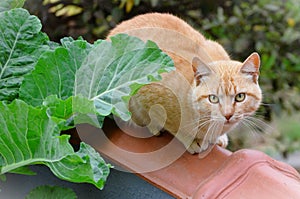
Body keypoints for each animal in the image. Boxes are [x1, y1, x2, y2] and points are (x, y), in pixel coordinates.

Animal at [106, 12, 262, 154]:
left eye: (240, 97)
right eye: (213, 98)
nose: (228, 115)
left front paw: (219, 138)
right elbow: (171, 124)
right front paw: (191, 141)